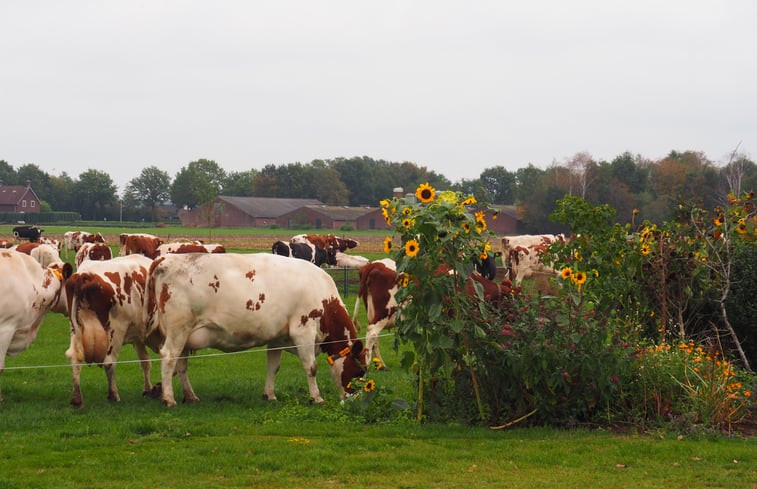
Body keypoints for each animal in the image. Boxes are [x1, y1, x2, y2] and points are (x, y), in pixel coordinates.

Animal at [63, 254, 161, 406]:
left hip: (75, 329)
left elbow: (145, 361)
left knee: (75, 359)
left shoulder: (137, 337)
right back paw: (113, 395)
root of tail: (85, 275)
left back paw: (77, 399)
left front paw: (148, 389)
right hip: (115, 331)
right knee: (109, 362)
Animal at [145, 250, 366, 406]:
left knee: (181, 365)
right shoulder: (304, 330)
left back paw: (190, 396)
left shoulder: (277, 338)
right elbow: (311, 367)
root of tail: (164, 259)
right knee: (169, 358)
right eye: (359, 372)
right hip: (178, 329)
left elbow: (273, 366)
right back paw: (169, 399)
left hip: (185, 335)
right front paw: (316, 398)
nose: (356, 401)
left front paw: (269, 395)